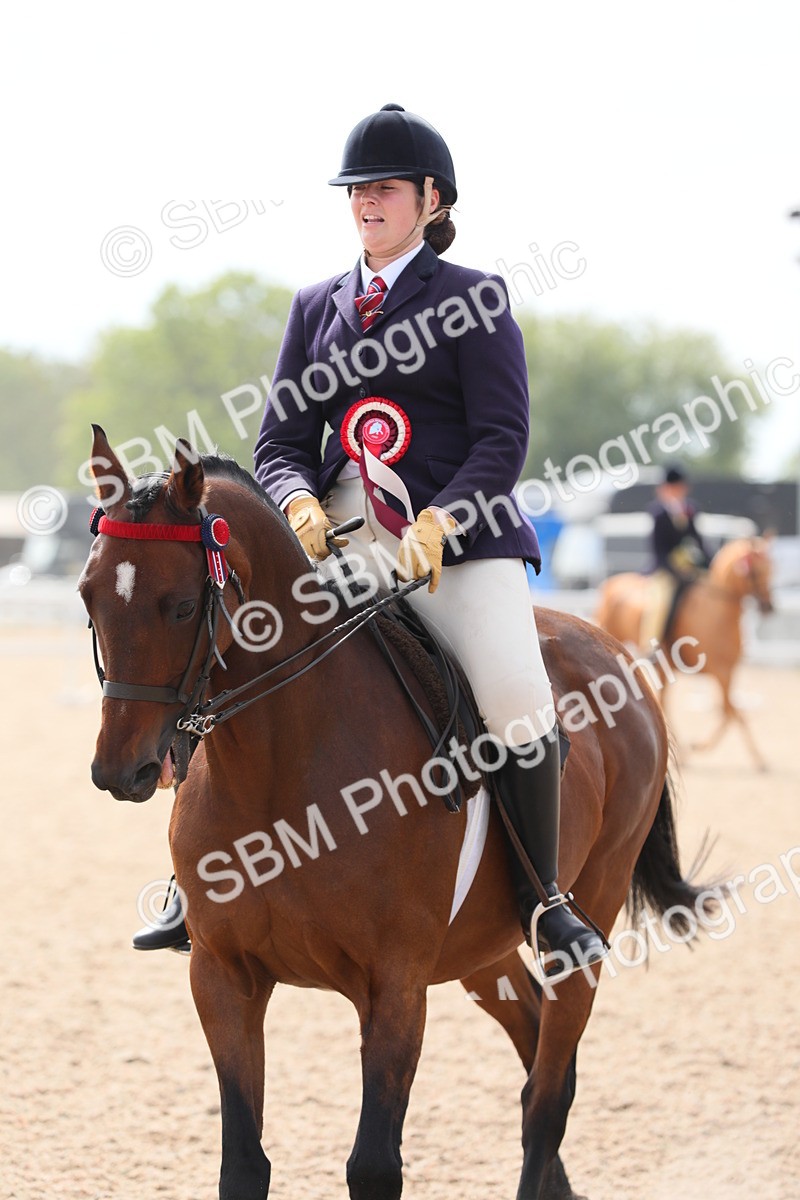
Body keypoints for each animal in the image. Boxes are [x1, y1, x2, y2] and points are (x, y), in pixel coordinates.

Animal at [81, 426, 712, 1200]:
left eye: (177, 605)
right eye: (88, 597)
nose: (121, 771)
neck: (280, 769)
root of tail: (615, 653)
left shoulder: (396, 986)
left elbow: (374, 1164)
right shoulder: (223, 977)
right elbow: (243, 1161)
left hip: (590, 911)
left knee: (548, 1094)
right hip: (481, 947)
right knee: (532, 1043)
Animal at [593, 537, 775, 772]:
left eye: (772, 568)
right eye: (757, 570)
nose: (769, 606)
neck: (717, 611)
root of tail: (610, 584)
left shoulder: (729, 672)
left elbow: (731, 712)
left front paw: (759, 758)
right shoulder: (721, 672)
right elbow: (732, 713)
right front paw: (698, 746)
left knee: (664, 703)